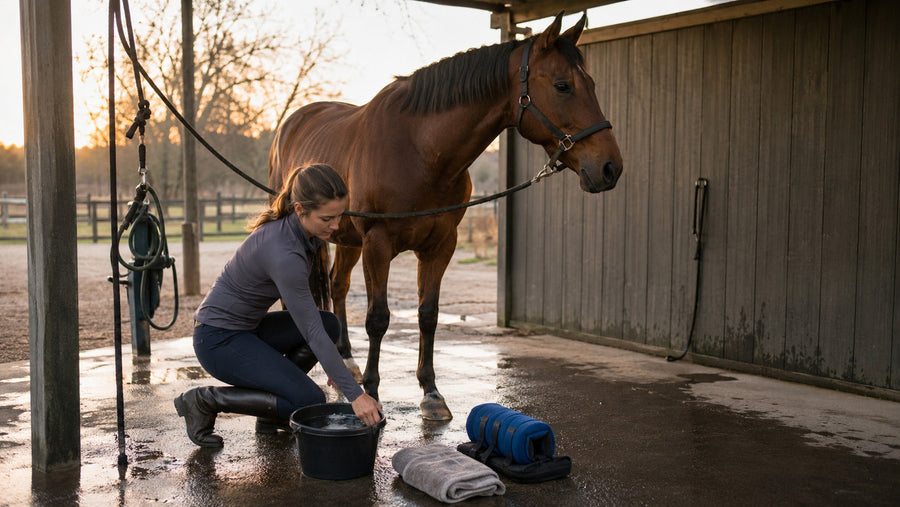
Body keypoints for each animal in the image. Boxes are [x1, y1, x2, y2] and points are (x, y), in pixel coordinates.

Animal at [268, 12, 623, 421]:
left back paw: (345, 358)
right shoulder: (378, 243)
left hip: (347, 239)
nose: (611, 167)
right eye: (563, 85)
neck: (419, 151)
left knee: (338, 284)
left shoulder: (440, 244)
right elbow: (378, 318)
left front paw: (431, 393)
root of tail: (291, 123)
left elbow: (428, 314)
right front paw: (372, 392)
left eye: (590, 83)